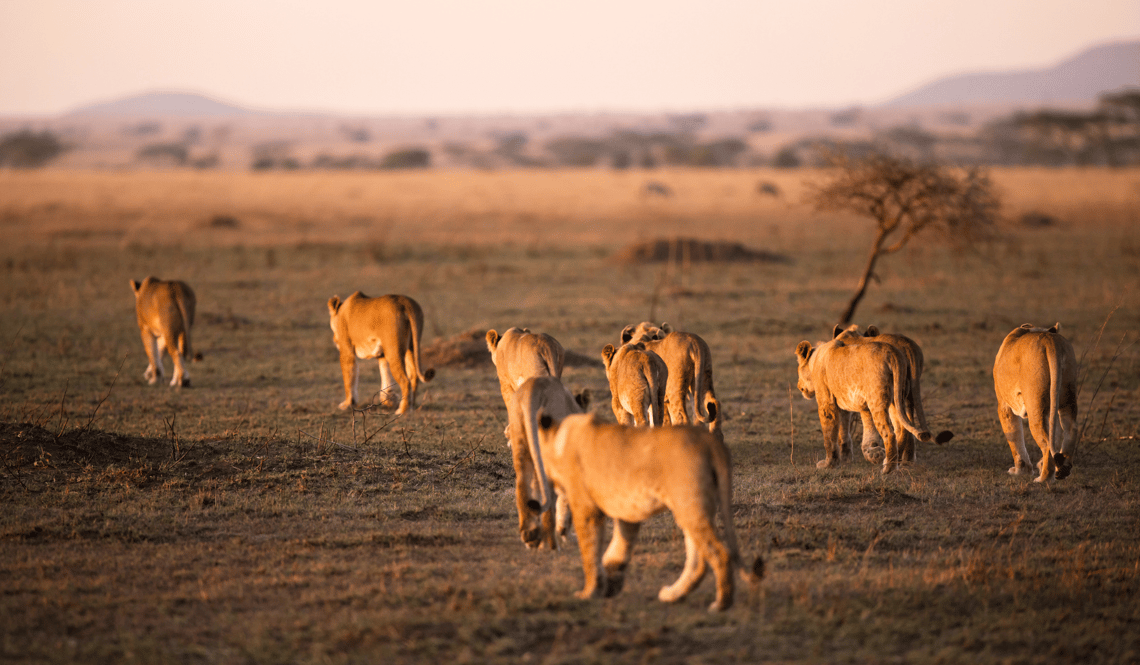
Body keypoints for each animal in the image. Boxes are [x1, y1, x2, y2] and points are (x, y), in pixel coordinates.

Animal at [513, 376, 592, 549]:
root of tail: (532, 388)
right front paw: (565, 531)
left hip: (518, 429)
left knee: (523, 480)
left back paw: (530, 537)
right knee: (548, 487)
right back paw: (552, 545)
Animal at [533, 412, 766, 611]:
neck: (559, 439)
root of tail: (709, 441)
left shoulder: (586, 509)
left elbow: (589, 553)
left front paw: (589, 593)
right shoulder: (627, 512)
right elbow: (619, 548)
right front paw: (611, 582)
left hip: (689, 505)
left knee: (719, 554)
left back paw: (720, 604)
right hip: (692, 509)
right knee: (699, 560)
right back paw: (673, 595)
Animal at [793, 337, 934, 474]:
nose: (798, 385)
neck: (814, 359)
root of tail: (893, 352)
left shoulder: (827, 403)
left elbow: (829, 436)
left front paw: (829, 464)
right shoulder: (852, 405)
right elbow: (851, 430)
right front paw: (851, 457)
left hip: (877, 401)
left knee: (889, 433)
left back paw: (888, 469)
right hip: (897, 398)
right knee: (901, 429)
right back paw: (892, 462)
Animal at [989, 323, 1076, 483]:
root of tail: (1050, 340)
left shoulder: (1004, 406)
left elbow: (1015, 439)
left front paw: (1020, 471)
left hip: (1035, 405)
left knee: (1047, 445)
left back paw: (1043, 479)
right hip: (1067, 398)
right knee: (1070, 429)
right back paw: (1063, 470)